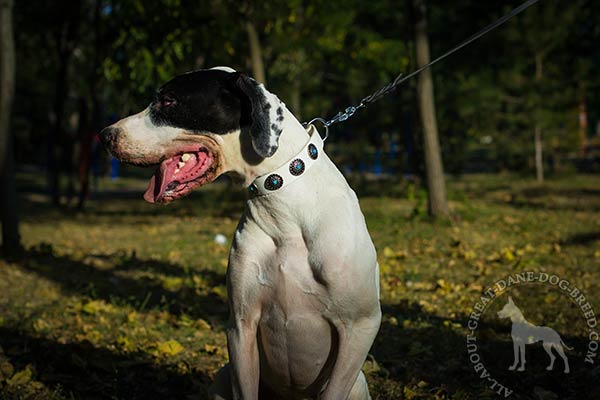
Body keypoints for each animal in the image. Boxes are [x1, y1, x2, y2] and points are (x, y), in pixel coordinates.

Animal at [98, 67, 380, 398]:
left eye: (168, 101)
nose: (105, 135)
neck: (285, 209)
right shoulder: (241, 326)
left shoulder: (360, 326)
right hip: (222, 377)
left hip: (358, 384)